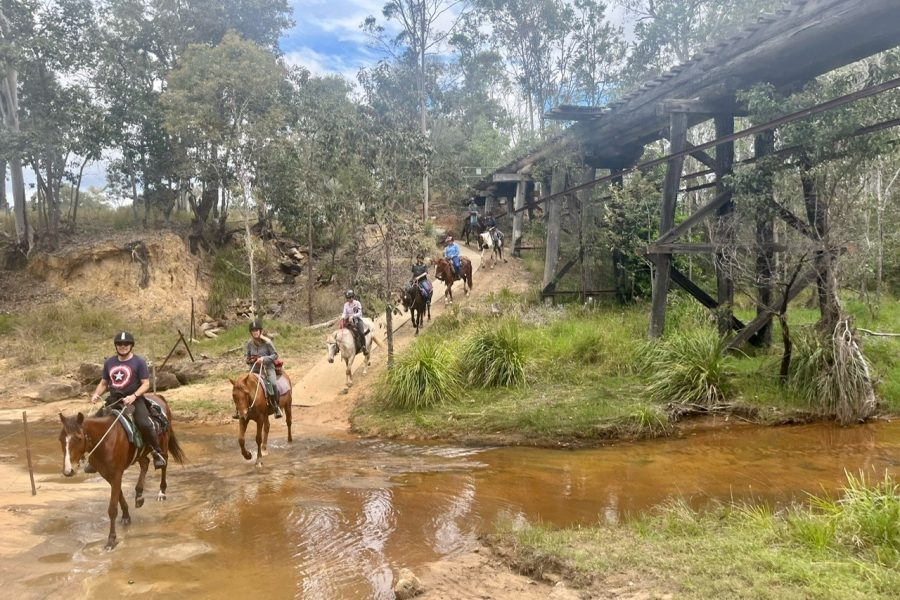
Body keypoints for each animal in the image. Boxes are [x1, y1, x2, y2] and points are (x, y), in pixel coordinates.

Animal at [57, 394, 185, 548]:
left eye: (79, 438)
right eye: (60, 439)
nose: (68, 470)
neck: (106, 439)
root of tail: (158, 396)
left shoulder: (116, 474)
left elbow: (112, 508)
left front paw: (111, 539)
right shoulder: (107, 474)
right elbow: (119, 496)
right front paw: (126, 516)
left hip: (163, 444)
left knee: (164, 464)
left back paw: (161, 492)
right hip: (140, 454)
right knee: (145, 463)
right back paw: (139, 495)